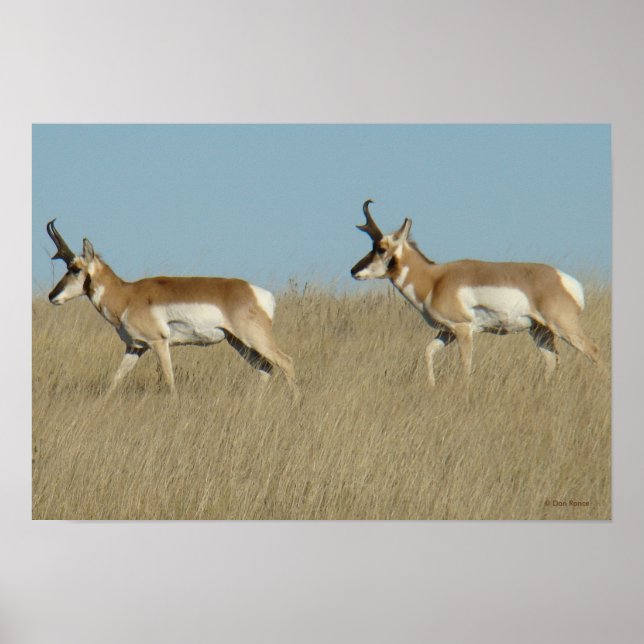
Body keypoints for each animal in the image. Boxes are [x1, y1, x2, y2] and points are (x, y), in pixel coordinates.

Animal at [46, 220, 296, 395]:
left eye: (75, 269)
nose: (51, 296)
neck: (127, 295)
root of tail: (258, 293)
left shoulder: (159, 343)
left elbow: (169, 380)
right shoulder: (135, 347)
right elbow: (115, 379)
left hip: (253, 338)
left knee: (286, 362)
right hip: (239, 343)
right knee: (265, 368)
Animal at [351, 200, 603, 386]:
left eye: (380, 248)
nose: (353, 271)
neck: (434, 279)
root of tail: (565, 280)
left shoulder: (463, 329)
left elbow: (465, 366)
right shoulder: (447, 332)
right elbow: (428, 352)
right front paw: (431, 385)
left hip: (563, 326)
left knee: (593, 351)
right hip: (540, 331)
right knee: (553, 360)